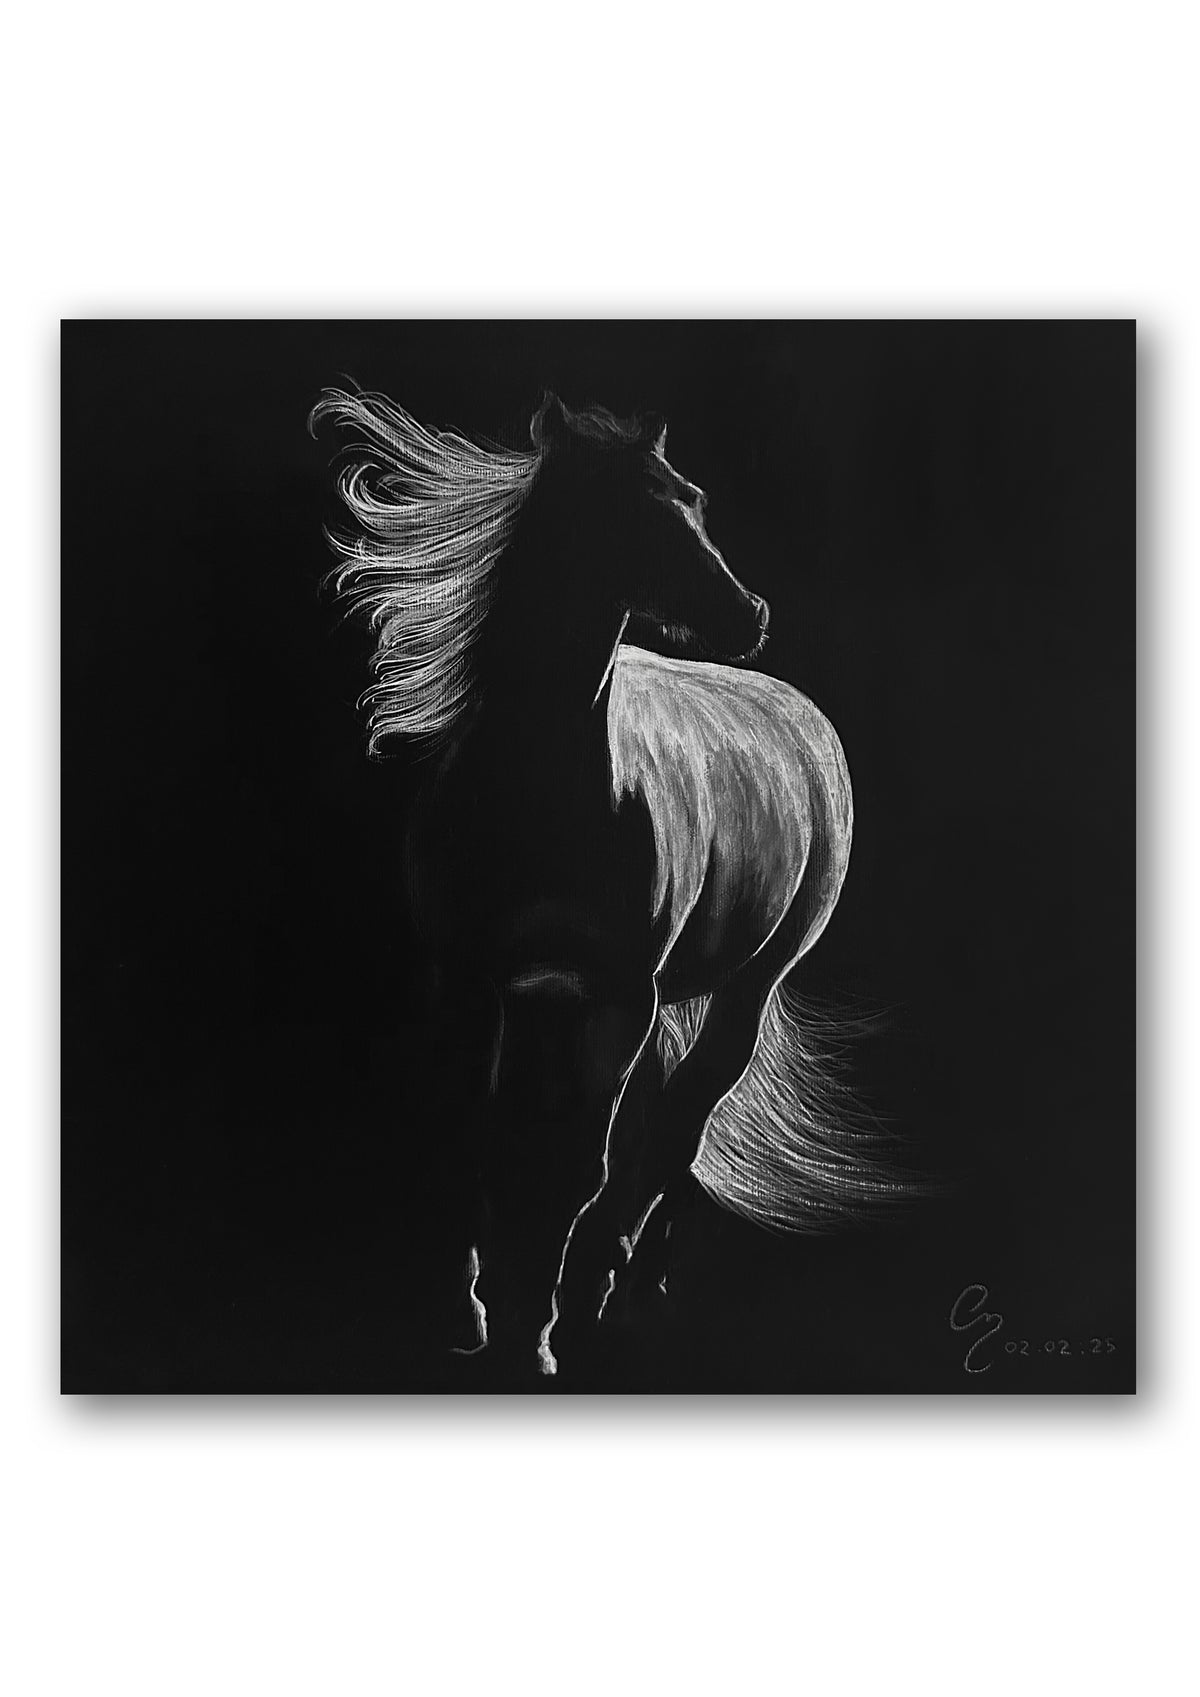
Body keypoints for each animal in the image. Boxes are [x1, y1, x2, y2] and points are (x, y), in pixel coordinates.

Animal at [312, 386, 898, 1377]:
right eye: (630, 508)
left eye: (692, 498)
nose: (749, 613)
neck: (541, 784)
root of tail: (806, 718)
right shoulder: (475, 986)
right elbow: (475, 1140)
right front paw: (469, 1315)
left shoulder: (614, 993)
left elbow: (583, 1159)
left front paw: (538, 1330)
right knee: (664, 1123)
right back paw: (631, 1278)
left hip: (740, 987)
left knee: (677, 1124)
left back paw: (606, 1285)